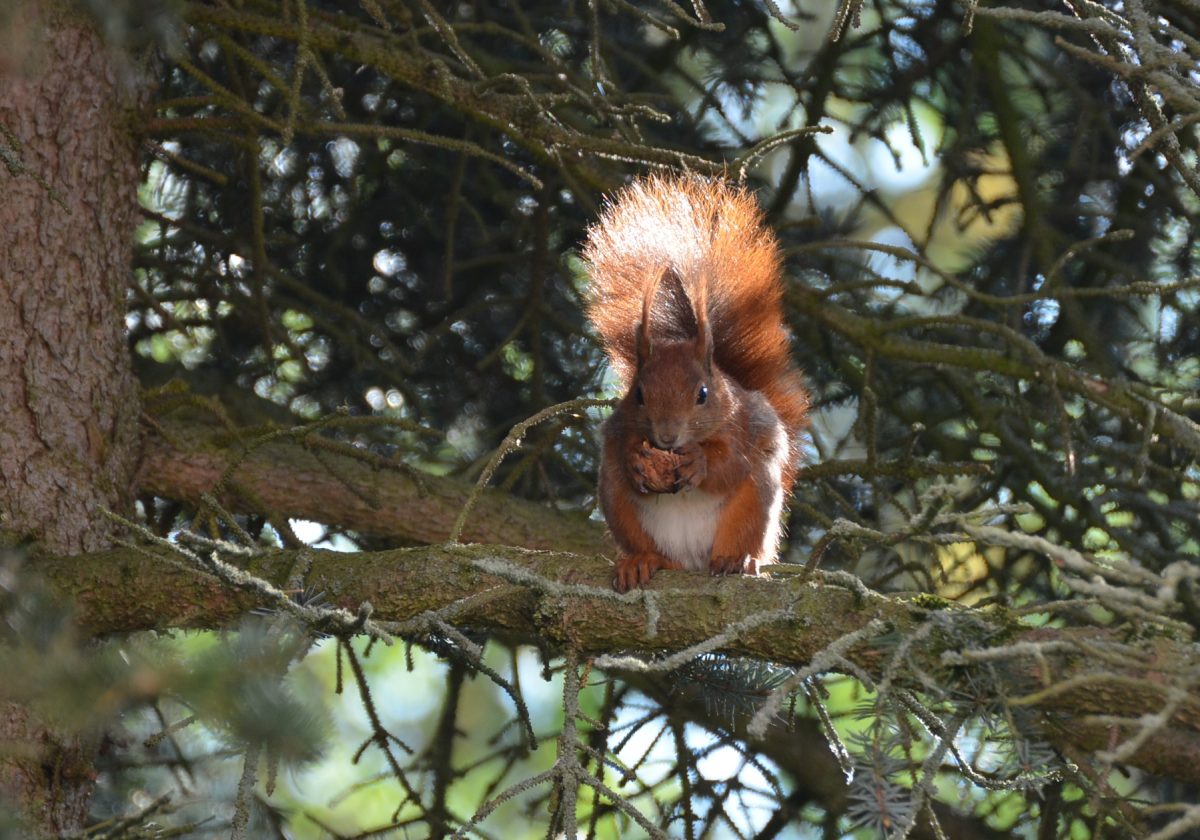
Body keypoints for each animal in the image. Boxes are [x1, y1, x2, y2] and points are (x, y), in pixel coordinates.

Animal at [578, 174, 806, 590]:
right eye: (638, 394)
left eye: (703, 393)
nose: (667, 437)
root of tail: (690, 562)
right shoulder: (618, 429)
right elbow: (621, 450)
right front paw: (637, 460)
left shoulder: (743, 427)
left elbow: (730, 463)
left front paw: (699, 461)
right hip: (618, 503)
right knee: (649, 545)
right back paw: (643, 561)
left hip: (755, 500)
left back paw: (737, 561)